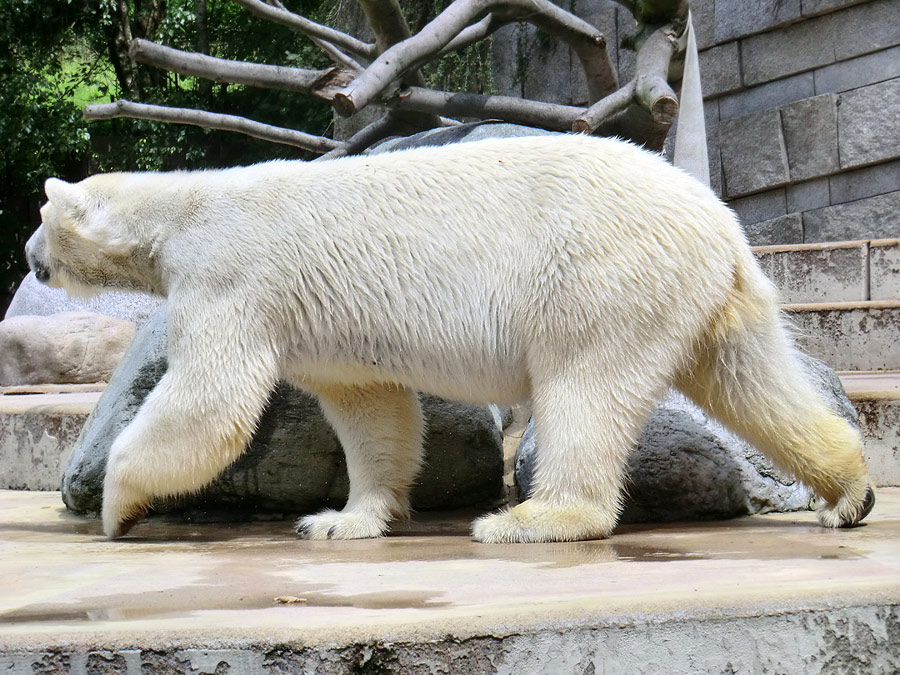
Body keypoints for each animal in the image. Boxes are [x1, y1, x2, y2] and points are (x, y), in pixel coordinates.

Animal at [26, 136, 872, 544]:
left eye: (40, 216)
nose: (29, 255)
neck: (179, 211)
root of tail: (719, 221)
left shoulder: (229, 275)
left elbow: (209, 402)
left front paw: (118, 506)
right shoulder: (325, 321)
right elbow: (371, 407)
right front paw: (341, 517)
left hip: (597, 273)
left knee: (584, 386)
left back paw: (530, 518)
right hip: (710, 297)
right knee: (752, 380)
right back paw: (849, 492)